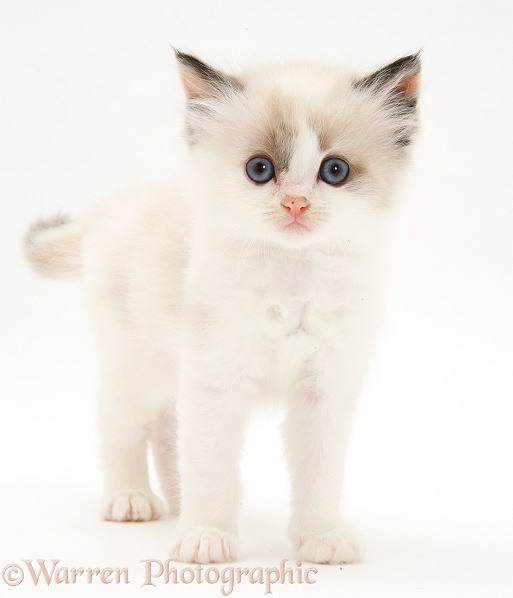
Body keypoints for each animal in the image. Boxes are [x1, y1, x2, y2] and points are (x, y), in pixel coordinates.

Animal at [25, 49, 420, 564]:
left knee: (167, 429)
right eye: (260, 169)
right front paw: (207, 536)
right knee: (121, 419)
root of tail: (111, 209)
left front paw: (321, 537)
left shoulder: (324, 388)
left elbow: (319, 473)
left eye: (335, 171)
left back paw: (177, 501)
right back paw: (131, 498)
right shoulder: (215, 379)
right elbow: (211, 466)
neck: (292, 276)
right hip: (138, 360)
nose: (296, 204)